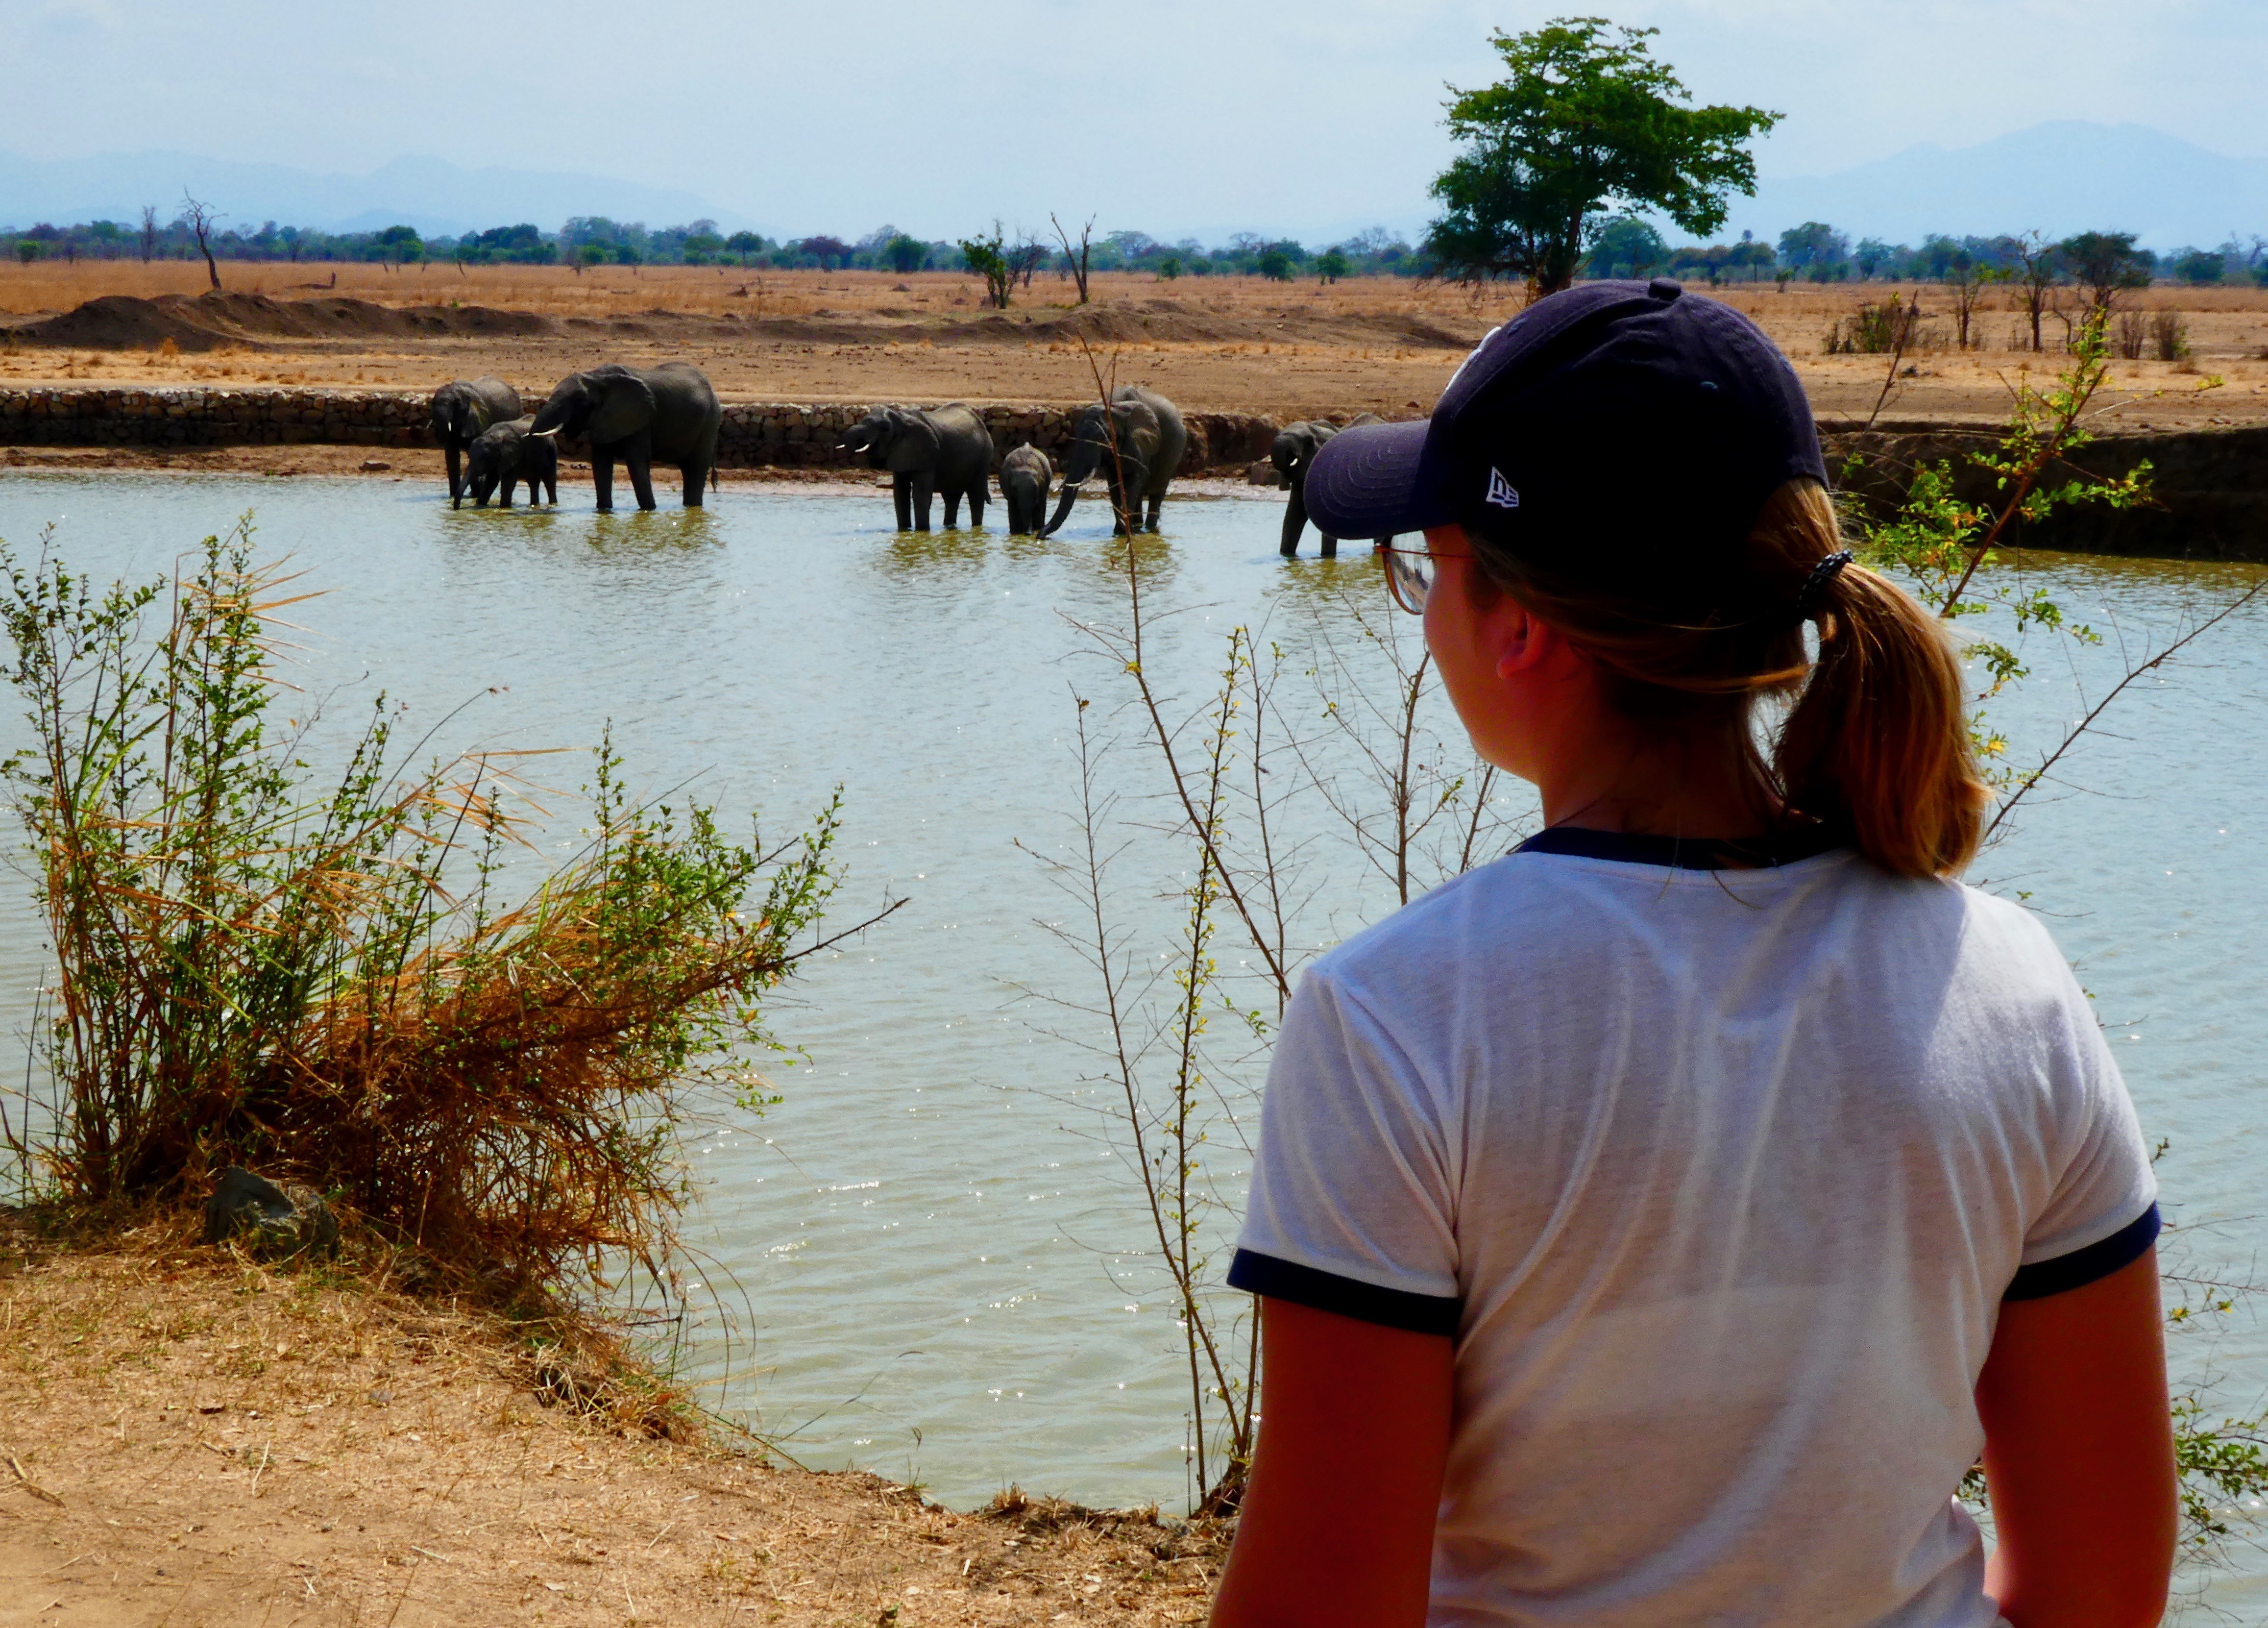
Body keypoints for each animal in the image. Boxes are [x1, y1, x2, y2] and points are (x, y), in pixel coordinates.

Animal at [430, 377, 522, 506]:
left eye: (457, 405)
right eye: (433, 404)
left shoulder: (479, 418)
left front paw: (476, 491)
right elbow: (452, 455)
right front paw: (453, 497)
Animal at [461, 416, 558, 509]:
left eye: (484, 459)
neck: (495, 436)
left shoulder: (514, 455)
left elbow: (507, 483)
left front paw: (504, 508)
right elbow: (491, 482)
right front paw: (480, 506)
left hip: (551, 451)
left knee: (549, 481)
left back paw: (553, 505)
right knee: (533, 482)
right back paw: (534, 505)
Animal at [528, 362, 722, 511]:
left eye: (580, 401)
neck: (597, 378)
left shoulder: (640, 419)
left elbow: (636, 461)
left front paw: (649, 510)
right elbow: (601, 463)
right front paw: (604, 511)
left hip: (710, 422)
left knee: (696, 467)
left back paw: (693, 507)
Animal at [840, 403, 993, 531]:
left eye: (885, 428)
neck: (901, 418)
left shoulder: (925, 453)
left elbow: (920, 494)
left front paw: (922, 531)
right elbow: (900, 494)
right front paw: (904, 531)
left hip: (984, 456)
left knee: (976, 495)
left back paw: (977, 528)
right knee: (951, 498)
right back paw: (949, 528)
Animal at [1041, 385, 1188, 537]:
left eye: (1103, 438)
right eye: (1077, 434)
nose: (1039, 534)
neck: (1116, 409)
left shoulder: (1140, 442)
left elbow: (1134, 480)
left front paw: (1123, 531)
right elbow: (1114, 482)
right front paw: (1119, 532)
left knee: (1156, 495)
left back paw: (1149, 528)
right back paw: (1137, 526)